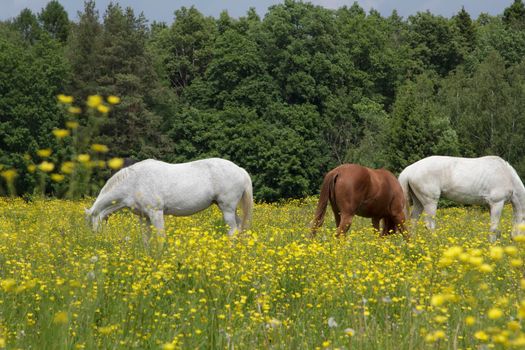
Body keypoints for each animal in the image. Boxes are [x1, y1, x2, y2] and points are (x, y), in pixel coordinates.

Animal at [85, 158, 253, 242]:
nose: (97, 242)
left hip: (227, 209)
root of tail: (240, 170)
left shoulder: (156, 213)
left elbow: (160, 237)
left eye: (92, 225)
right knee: (240, 228)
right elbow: (146, 239)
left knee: (233, 231)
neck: (134, 181)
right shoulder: (144, 217)